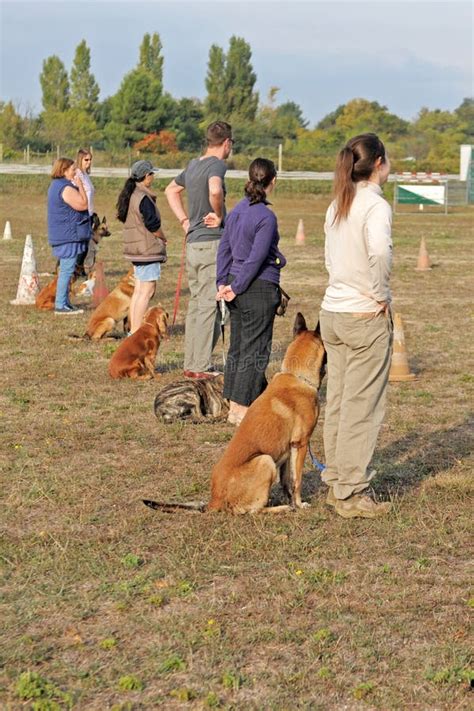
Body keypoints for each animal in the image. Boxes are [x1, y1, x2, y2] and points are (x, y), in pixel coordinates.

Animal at [143, 314, 326, 516]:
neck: (296, 376)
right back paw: (280, 508)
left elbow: (286, 482)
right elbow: (296, 481)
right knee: (253, 511)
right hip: (265, 460)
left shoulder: (288, 450)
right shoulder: (300, 445)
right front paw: (299, 504)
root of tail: (213, 501)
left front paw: (293, 501)